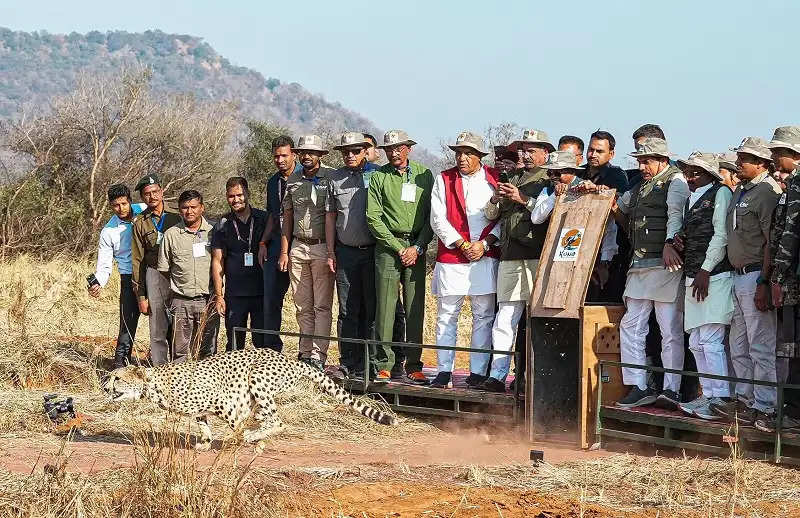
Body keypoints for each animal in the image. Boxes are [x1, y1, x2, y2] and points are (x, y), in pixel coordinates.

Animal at [103, 350, 396, 450]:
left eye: (117, 378)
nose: (105, 386)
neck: (153, 385)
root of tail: (290, 359)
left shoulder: (222, 400)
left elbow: (235, 424)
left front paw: (240, 440)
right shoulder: (200, 409)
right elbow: (203, 424)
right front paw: (205, 444)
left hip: (257, 377)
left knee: (278, 421)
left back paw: (255, 436)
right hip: (259, 394)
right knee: (267, 416)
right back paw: (258, 430)